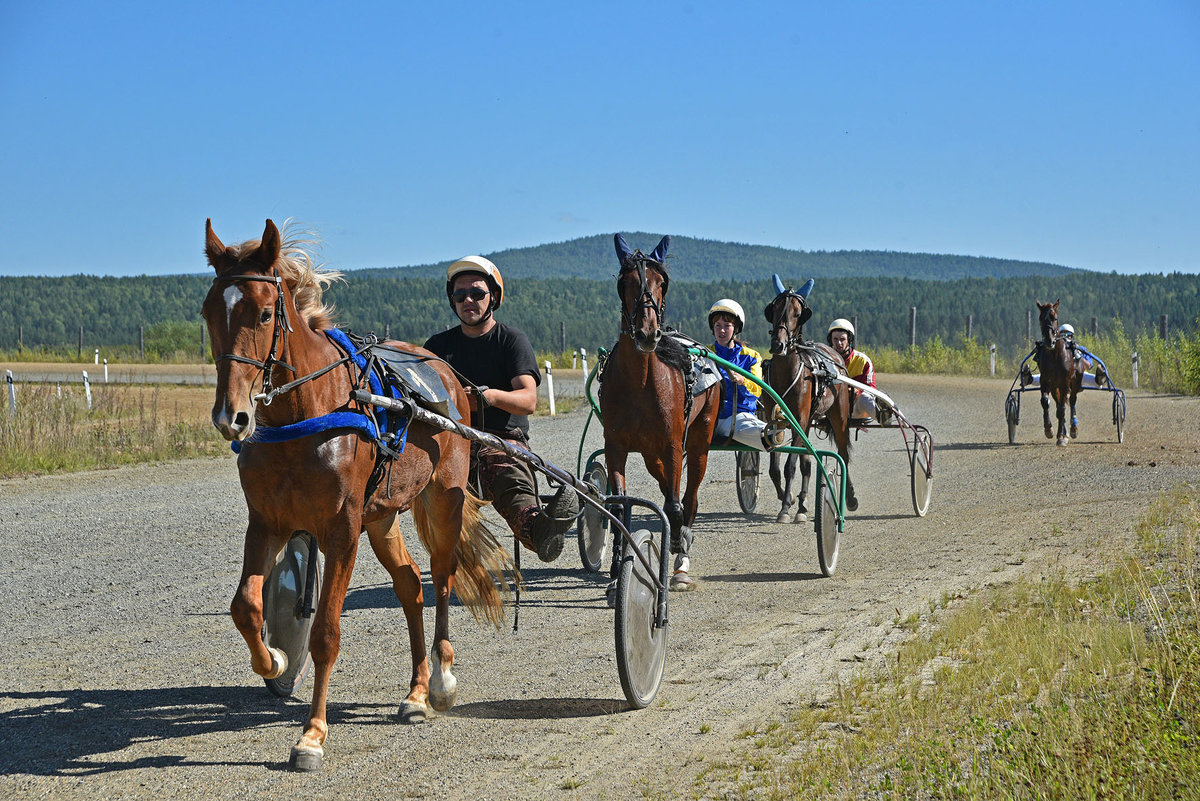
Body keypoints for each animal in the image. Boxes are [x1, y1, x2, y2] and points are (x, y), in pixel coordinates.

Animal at [201, 217, 511, 767]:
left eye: (264, 312)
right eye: (207, 312)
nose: (231, 416)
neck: (306, 413)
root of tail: (445, 372)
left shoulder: (341, 529)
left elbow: (326, 632)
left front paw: (312, 734)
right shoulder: (267, 521)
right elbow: (245, 607)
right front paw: (275, 657)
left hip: (442, 499)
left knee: (442, 578)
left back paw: (441, 680)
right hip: (381, 514)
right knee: (410, 586)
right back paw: (415, 693)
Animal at [600, 235, 720, 592]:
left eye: (661, 283)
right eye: (626, 282)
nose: (647, 333)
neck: (640, 383)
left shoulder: (672, 445)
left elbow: (675, 507)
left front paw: (677, 550)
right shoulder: (616, 447)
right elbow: (620, 505)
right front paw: (617, 568)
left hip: (699, 440)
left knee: (688, 498)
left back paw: (681, 558)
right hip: (651, 454)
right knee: (668, 485)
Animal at [1032, 298, 1089, 448]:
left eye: (1054, 318)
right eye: (1041, 318)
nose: (1049, 341)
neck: (1055, 356)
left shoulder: (1064, 383)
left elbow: (1063, 409)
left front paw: (1063, 437)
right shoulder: (1046, 381)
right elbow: (1045, 402)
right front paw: (1049, 430)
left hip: (1075, 383)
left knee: (1072, 401)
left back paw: (1072, 429)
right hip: (1055, 387)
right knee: (1058, 405)